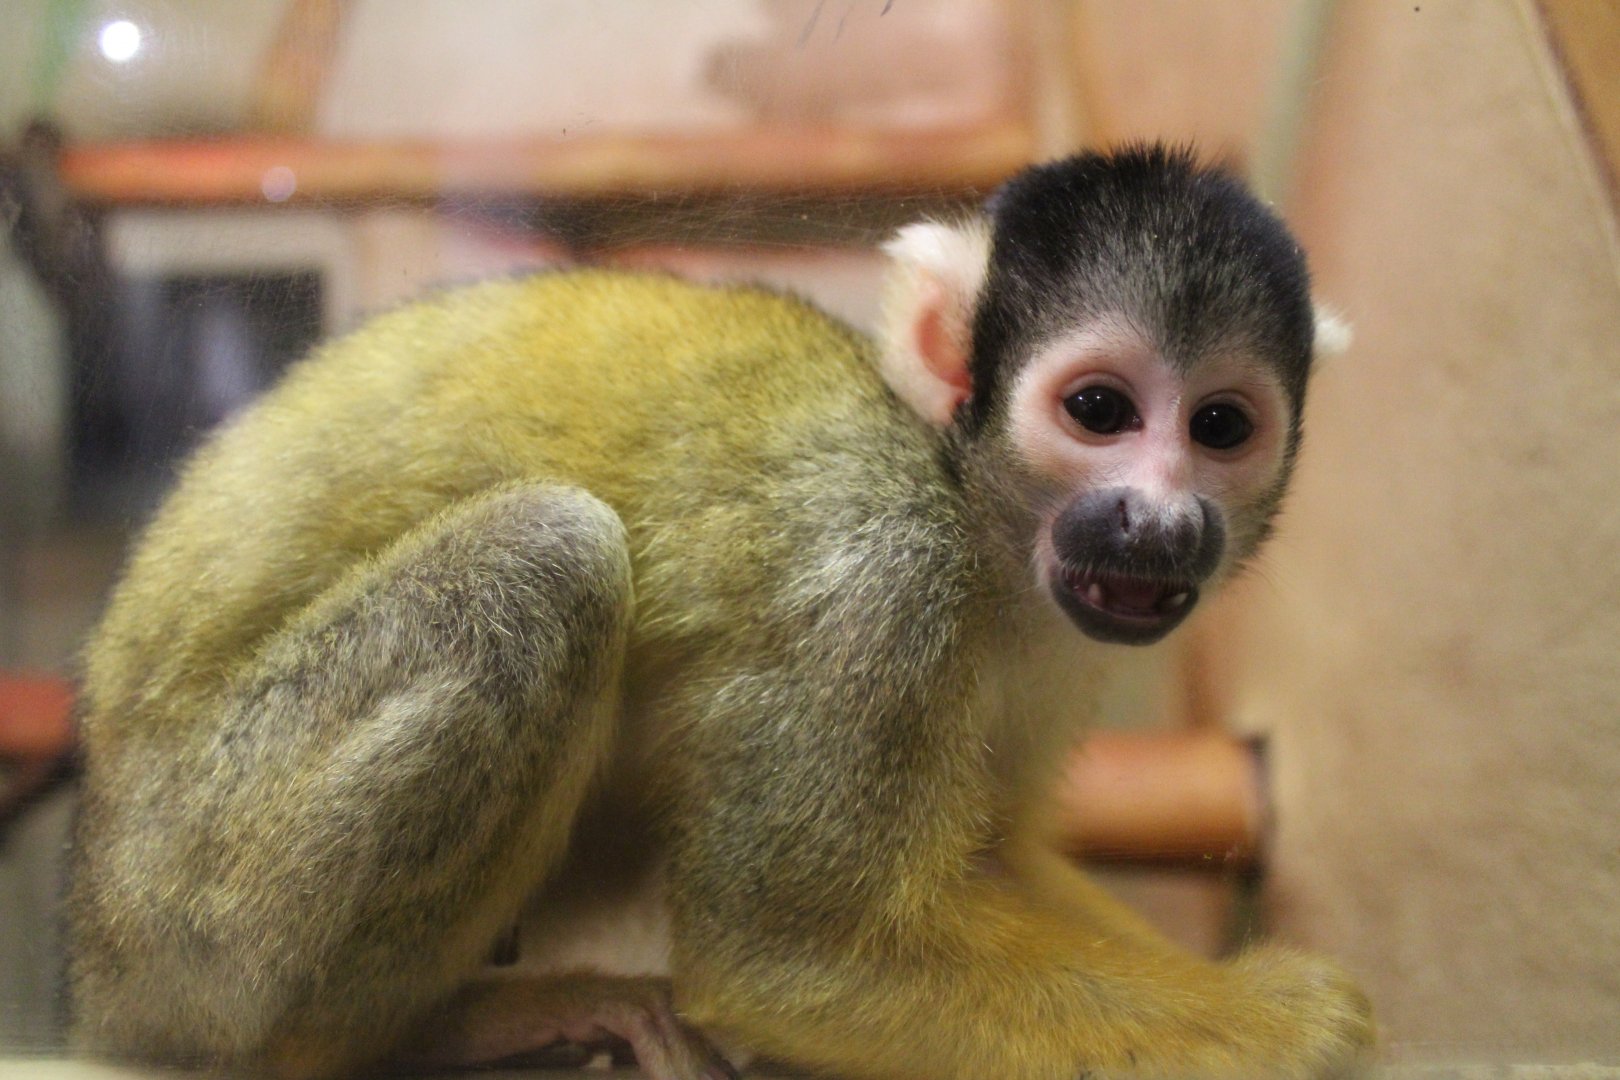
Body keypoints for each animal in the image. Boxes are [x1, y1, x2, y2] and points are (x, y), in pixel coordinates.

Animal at [67, 144, 1372, 1080]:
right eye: (1098, 410)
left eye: (1219, 427)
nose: (1160, 522)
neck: (969, 502)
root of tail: (93, 931)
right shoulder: (874, 578)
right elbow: (791, 950)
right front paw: (1286, 1025)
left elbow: (993, 861)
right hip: (191, 887)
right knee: (550, 559)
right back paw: (393, 1040)